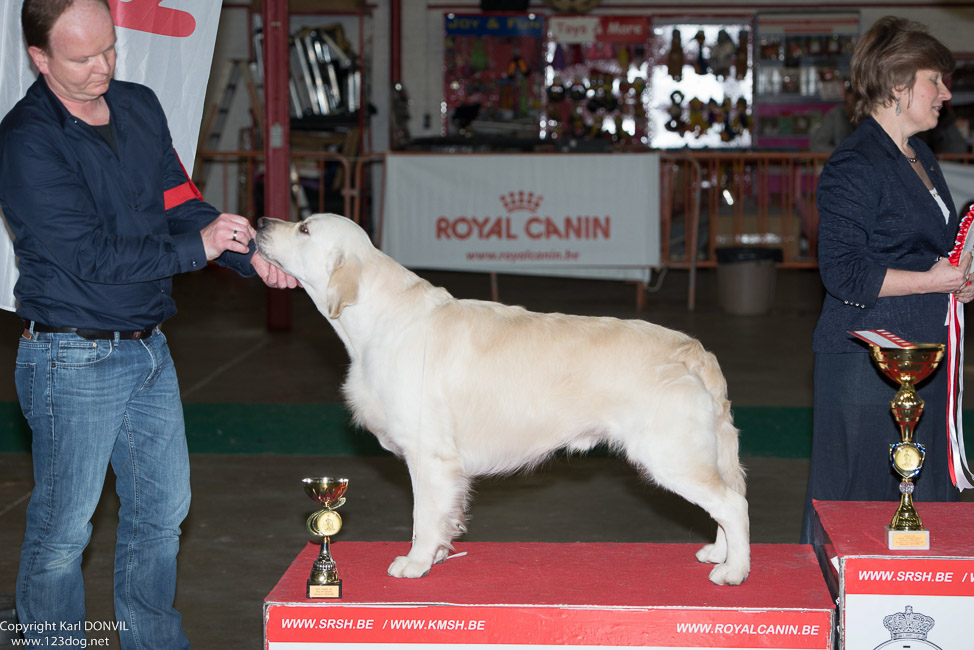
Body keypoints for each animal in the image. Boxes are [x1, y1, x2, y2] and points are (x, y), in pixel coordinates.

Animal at [255, 215, 752, 584]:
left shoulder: (429, 454)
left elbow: (423, 514)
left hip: (671, 455)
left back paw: (735, 571)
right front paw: (437, 554)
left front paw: (415, 563)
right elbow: (440, 516)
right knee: (727, 501)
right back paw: (719, 553)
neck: (380, 318)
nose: (259, 221)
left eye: (304, 229)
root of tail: (692, 351)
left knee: (733, 505)